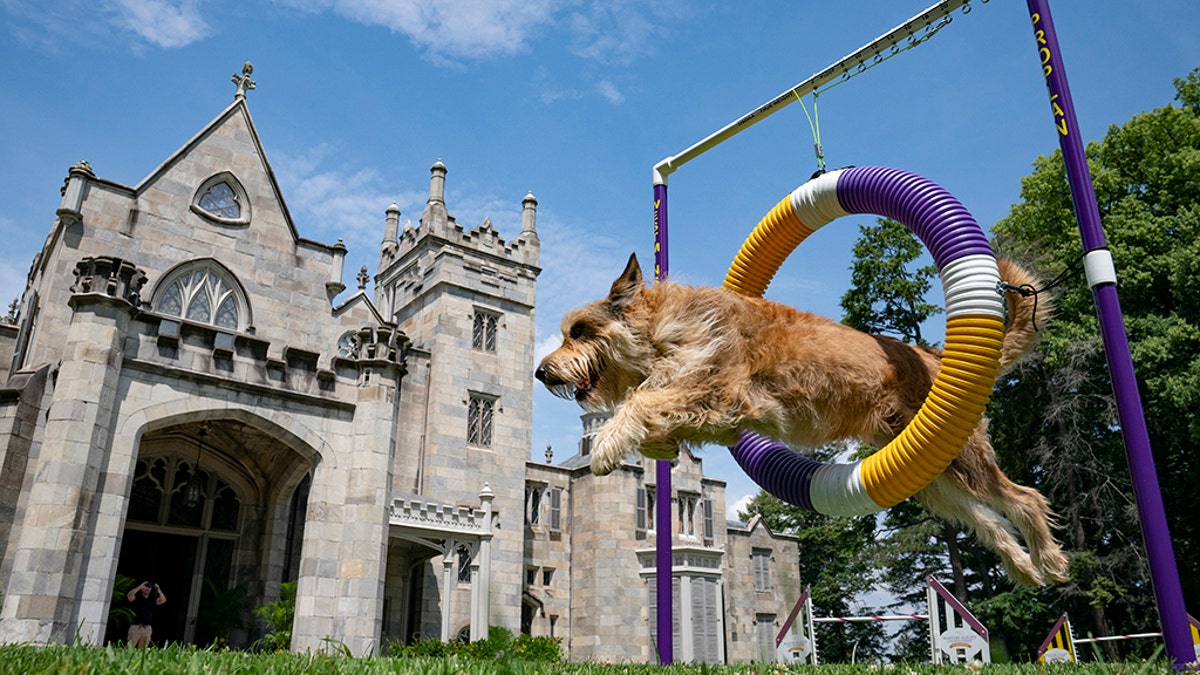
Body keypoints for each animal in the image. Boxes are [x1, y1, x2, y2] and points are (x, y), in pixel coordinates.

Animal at [535, 252, 1070, 583]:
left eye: (579, 331)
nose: (541, 371)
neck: (662, 329)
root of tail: (936, 356)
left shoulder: (723, 393)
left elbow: (642, 400)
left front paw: (608, 445)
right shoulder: (722, 415)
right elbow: (655, 408)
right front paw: (656, 445)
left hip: (965, 462)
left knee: (1025, 499)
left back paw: (1049, 559)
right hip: (937, 480)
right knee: (989, 521)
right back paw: (1024, 568)